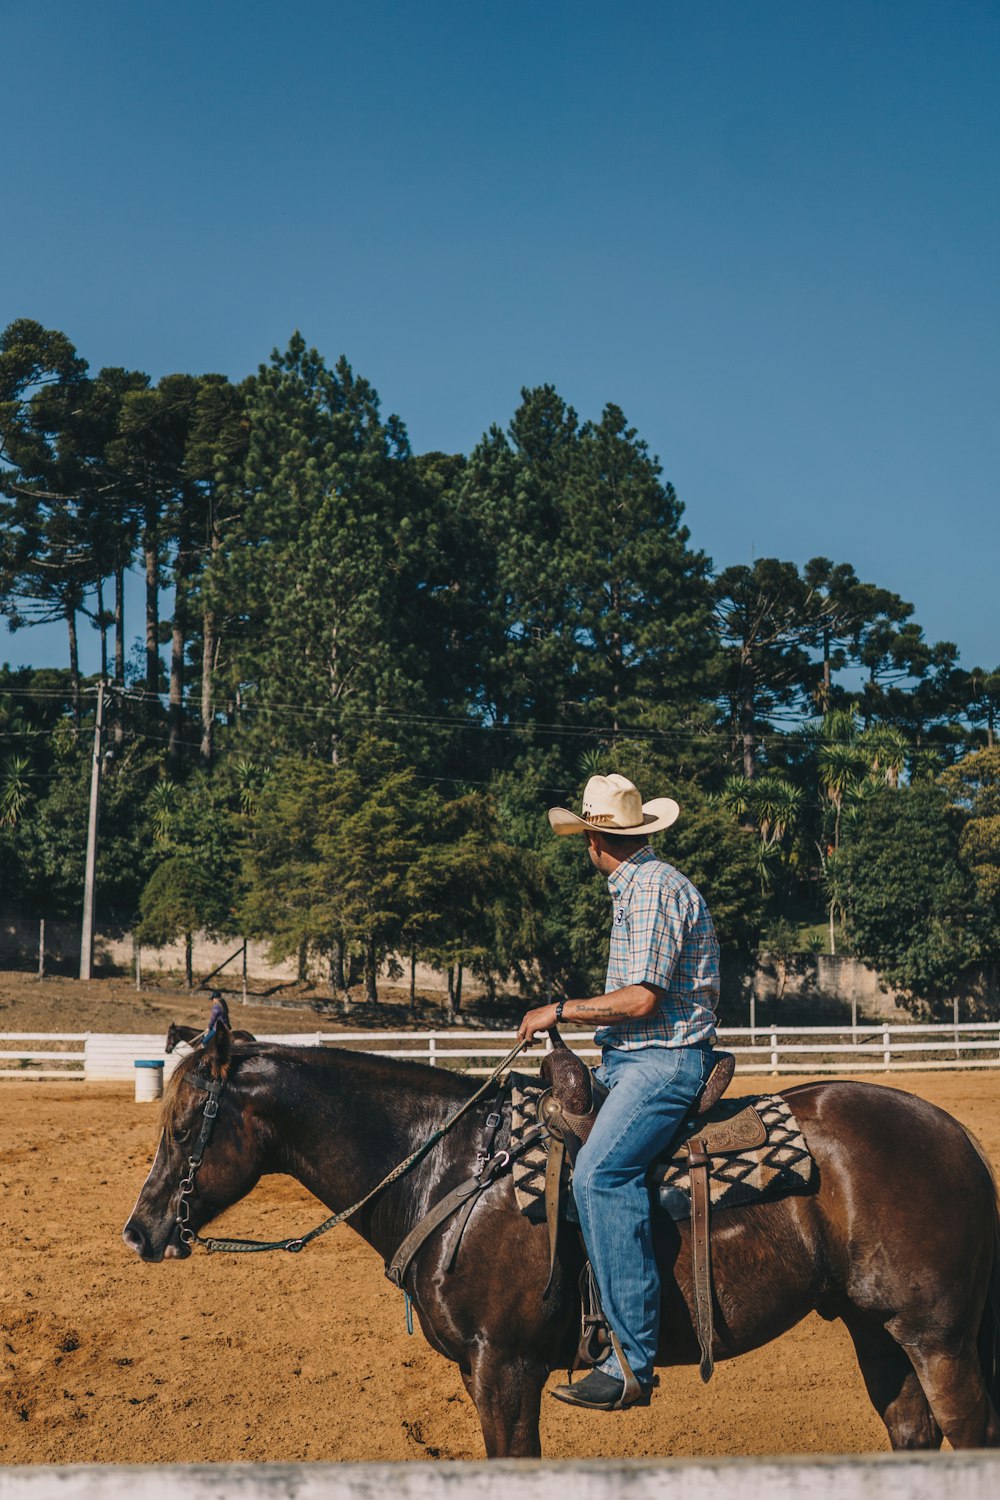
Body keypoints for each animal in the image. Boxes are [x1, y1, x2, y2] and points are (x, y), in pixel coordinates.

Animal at [121, 1026, 995, 1458]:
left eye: (182, 1125)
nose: (140, 1231)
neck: (449, 1169)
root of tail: (958, 1136)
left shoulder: (503, 1365)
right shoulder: (488, 1369)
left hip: (939, 1334)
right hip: (873, 1328)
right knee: (912, 1433)